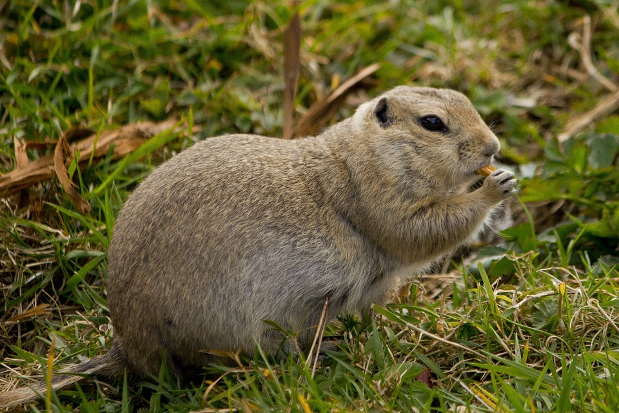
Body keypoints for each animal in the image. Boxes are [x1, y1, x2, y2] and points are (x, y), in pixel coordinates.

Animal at [0, 85, 520, 408]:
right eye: (433, 122)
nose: (493, 147)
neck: (361, 157)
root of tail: (130, 347)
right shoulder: (380, 201)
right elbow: (424, 231)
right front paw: (494, 188)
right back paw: (322, 352)